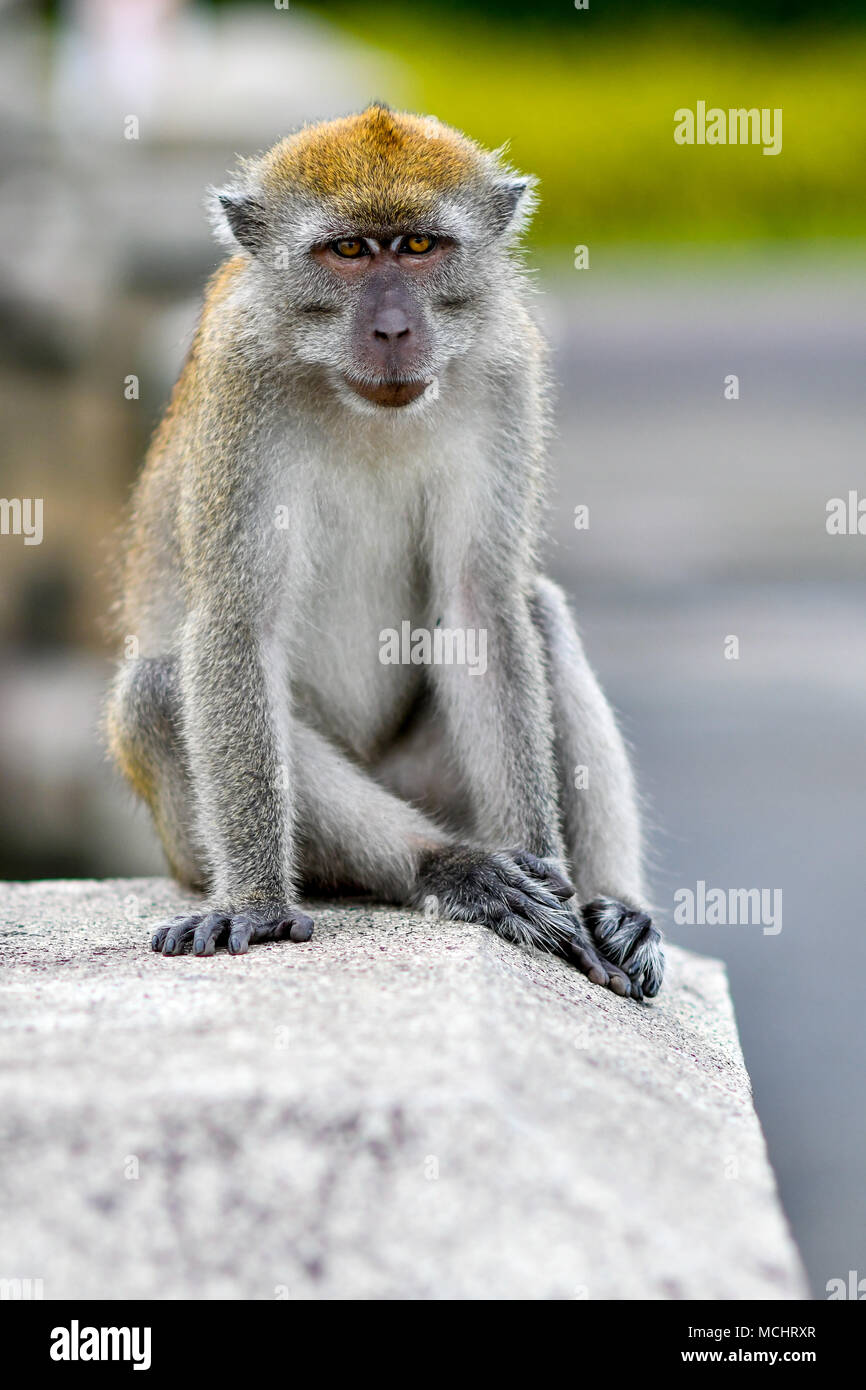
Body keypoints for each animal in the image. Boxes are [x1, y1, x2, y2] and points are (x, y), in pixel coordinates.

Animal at [108, 108, 664, 1000]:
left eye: (418, 247)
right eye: (347, 252)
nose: (395, 327)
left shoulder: (505, 362)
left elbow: (482, 606)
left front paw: (554, 879)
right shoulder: (238, 377)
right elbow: (235, 625)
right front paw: (259, 905)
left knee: (536, 610)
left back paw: (613, 905)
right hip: (189, 844)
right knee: (160, 688)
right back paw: (449, 866)